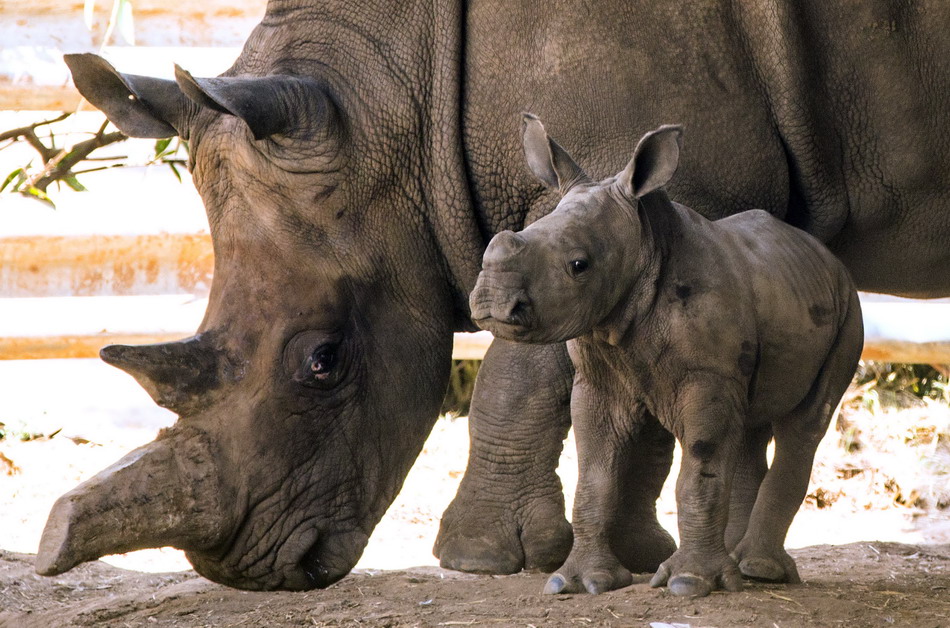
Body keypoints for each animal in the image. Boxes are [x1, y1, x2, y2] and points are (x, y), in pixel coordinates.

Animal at [472, 115, 868, 596]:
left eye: (579, 265)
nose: (492, 301)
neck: (644, 248)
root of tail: (827, 257)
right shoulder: (598, 377)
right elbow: (594, 476)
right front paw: (578, 582)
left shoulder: (706, 374)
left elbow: (699, 471)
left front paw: (687, 582)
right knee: (749, 426)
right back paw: (738, 567)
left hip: (849, 309)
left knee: (805, 424)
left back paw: (757, 570)